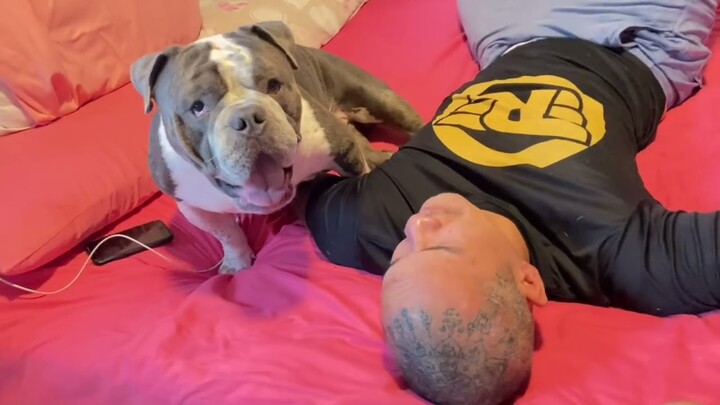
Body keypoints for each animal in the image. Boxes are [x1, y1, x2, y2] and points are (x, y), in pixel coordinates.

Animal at [129, 21, 423, 274]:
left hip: (376, 99)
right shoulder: (193, 206)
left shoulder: (344, 151)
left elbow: (358, 180)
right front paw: (236, 263)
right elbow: (227, 234)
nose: (248, 119)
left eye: (274, 85)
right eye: (198, 107)